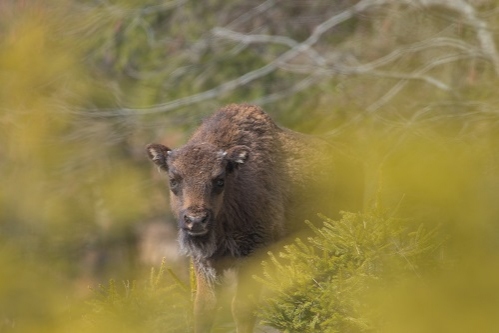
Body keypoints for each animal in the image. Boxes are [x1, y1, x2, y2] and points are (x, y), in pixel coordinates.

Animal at [146, 102, 362, 330]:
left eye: (219, 180)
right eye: (173, 180)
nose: (196, 220)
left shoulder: (253, 254)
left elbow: (242, 308)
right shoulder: (204, 263)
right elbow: (204, 309)